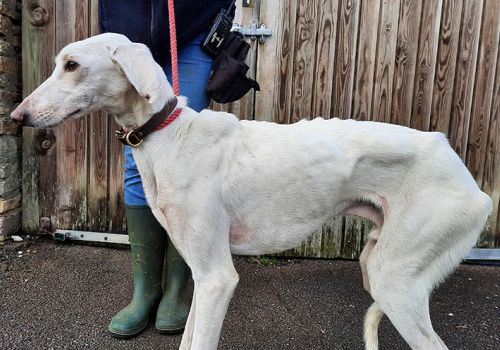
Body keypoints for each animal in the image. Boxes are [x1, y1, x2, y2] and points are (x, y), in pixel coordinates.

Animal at [11, 32, 492, 350]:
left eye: (72, 65)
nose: (17, 116)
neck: (170, 135)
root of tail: (475, 186)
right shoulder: (201, 276)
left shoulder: (217, 278)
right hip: (376, 265)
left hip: (395, 279)